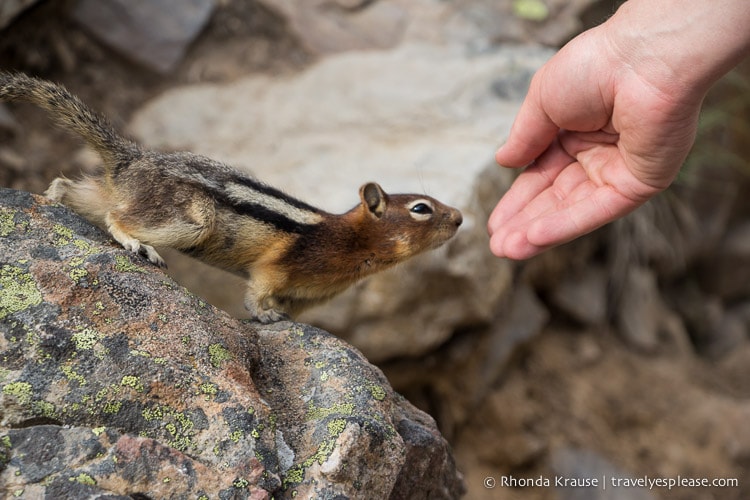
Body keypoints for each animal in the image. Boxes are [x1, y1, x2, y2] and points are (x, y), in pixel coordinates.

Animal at [0, 72, 464, 322]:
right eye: (421, 209)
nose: (460, 218)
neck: (351, 241)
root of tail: (133, 159)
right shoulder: (278, 267)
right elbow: (258, 291)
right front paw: (265, 315)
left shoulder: (306, 297)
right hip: (190, 217)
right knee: (119, 218)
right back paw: (137, 244)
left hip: (115, 192)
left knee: (74, 189)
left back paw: (50, 197)